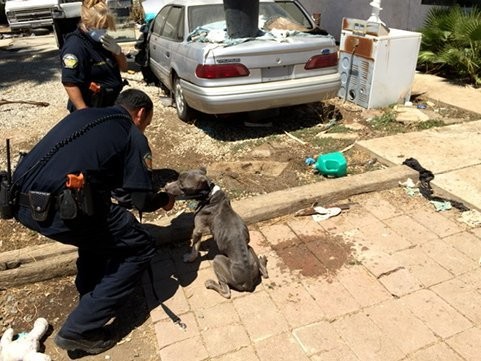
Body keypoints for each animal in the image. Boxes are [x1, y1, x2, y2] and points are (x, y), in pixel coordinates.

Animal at [165, 167, 268, 296]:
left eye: (182, 185)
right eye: (178, 178)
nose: (165, 188)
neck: (209, 195)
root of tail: (248, 282)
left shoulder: (197, 230)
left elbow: (194, 248)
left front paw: (190, 257)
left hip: (218, 259)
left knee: (226, 292)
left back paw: (210, 283)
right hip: (251, 250)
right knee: (264, 273)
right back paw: (263, 261)